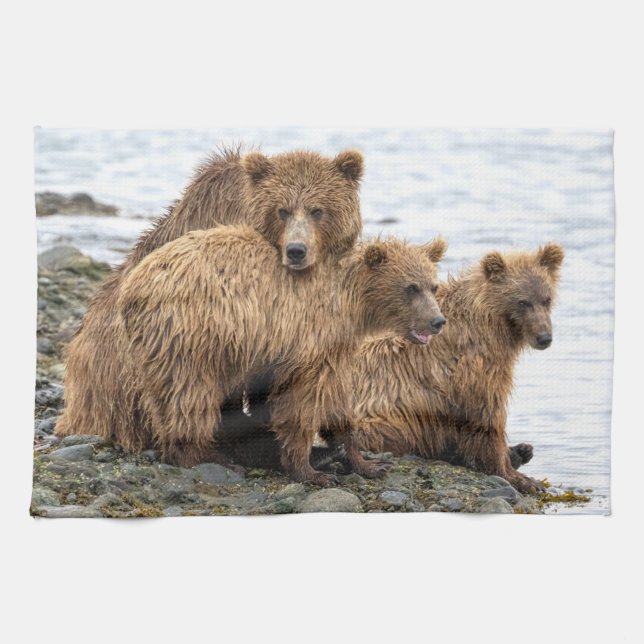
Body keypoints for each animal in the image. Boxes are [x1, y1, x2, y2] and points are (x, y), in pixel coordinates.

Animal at [116, 226, 448, 484]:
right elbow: (302, 402)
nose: (437, 321)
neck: (350, 303)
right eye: (411, 287)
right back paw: (209, 456)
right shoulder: (306, 338)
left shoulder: (335, 348)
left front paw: (367, 463)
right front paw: (311, 471)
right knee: (189, 394)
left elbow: (338, 402)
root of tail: (130, 287)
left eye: (433, 285)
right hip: (191, 335)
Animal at [351, 243, 564, 494]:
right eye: (523, 302)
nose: (544, 337)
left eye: (546, 299)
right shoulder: (474, 367)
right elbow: (486, 414)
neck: (490, 324)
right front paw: (521, 478)